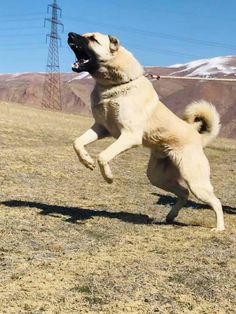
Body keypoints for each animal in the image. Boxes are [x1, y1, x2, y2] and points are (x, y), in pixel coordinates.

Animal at [67, 31, 224, 231]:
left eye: (93, 39)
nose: (70, 34)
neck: (114, 86)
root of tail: (198, 137)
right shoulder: (101, 128)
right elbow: (77, 143)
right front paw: (86, 161)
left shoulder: (129, 136)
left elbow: (103, 156)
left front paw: (108, 177)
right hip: (157, 177)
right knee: (183, 192)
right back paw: (171, 216)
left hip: (195, 180)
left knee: (215, 201)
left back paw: (219, 228)